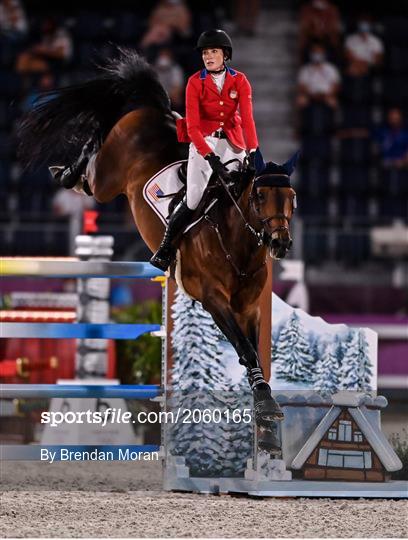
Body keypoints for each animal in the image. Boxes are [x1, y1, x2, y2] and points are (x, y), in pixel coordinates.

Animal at [18, 49, 296, 452]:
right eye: (259, 196)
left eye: (291, 198)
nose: (280, 243)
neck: (237, 244)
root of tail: (157, 111)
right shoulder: (214, 299)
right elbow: (244, 348)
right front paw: (265, 407)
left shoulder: (249, 308)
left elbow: (253, 349)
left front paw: (267, 420)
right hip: (107, 179)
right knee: (93, 158)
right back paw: (66, 171)